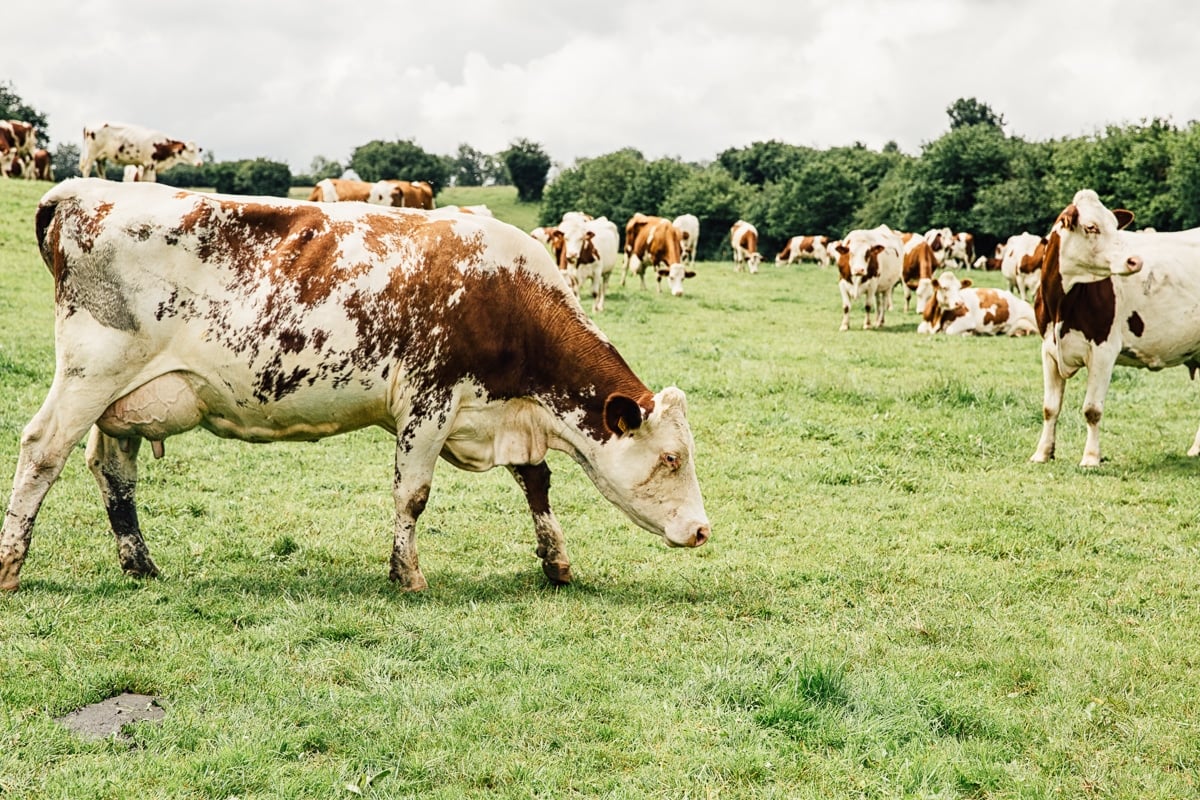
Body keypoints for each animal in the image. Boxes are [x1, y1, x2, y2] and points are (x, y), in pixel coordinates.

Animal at [0, 181, 710, 594]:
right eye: (672, 459)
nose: (703, 531)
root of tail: (77, 191)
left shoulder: (505, 410)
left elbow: (536, 483)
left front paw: (555, 562)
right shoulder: (429, 400)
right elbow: (413, 494)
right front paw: (407, 574)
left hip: (126, 397)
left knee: (112, 469)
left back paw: (141, 564)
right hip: (92, 370)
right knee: (42, 450)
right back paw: (12, 564)